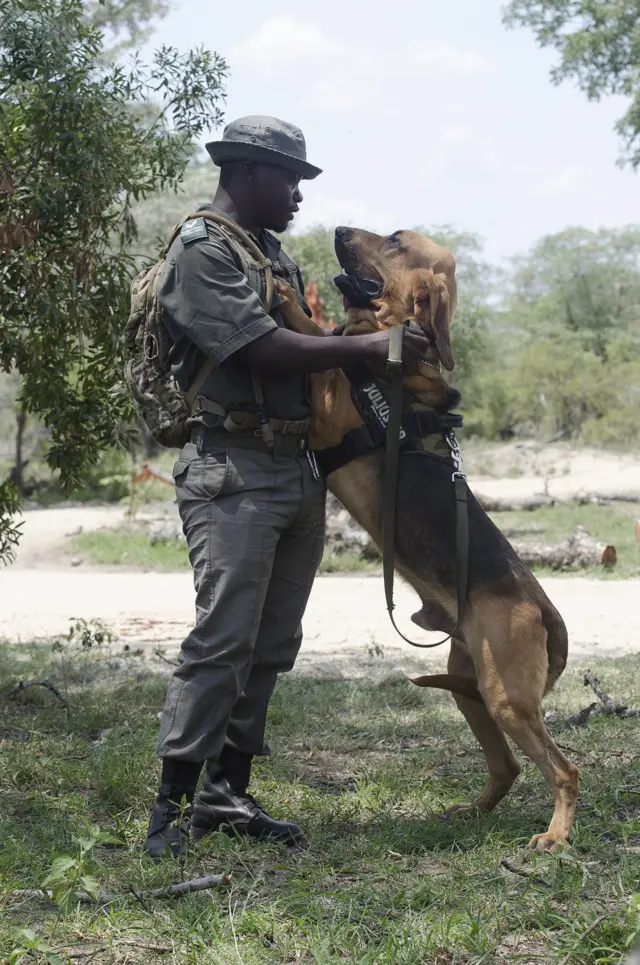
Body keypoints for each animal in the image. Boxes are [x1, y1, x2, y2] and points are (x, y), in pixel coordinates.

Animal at [276, 228, 580, 852]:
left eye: (394, 241)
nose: (337, 229)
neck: (398, 348)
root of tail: (544, 609)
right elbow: (326, 339)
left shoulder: (328, 411)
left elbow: (315, 339)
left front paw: (290, 301)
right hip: (473, 687)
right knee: (507, 766)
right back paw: (473, 812)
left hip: (506, 699)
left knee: (565, 770)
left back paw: (554, 836)